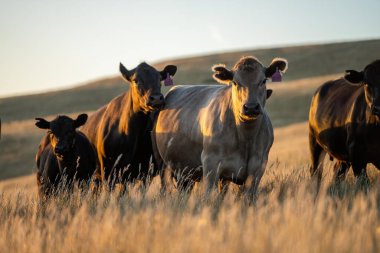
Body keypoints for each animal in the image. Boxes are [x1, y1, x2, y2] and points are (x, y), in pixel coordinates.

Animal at [154, 56, 288, 197]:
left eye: (263, 80)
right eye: (235, 82)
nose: (251, 107)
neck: (246, 137)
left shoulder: (258, 167)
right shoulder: (210, 163)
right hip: (165, 165)